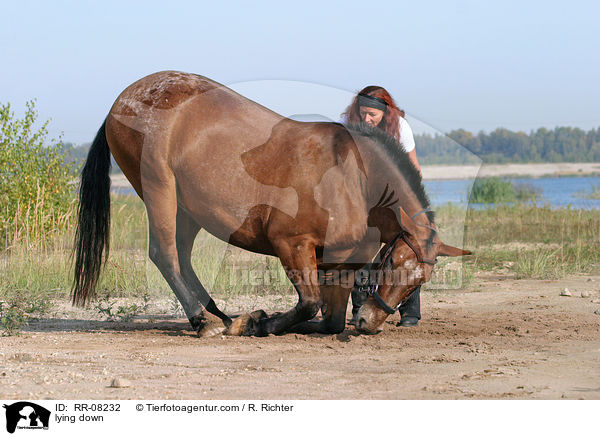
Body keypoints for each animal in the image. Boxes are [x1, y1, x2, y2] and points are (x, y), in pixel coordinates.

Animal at [72, 72, 472, 338]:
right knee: (164, 254)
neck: (354, 179)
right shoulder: (291, 245)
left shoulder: (337, 264)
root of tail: (123, 101)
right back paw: (203, 321)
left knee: (182, 257)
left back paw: (220, 317)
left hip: (188, 207)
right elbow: (309, 304)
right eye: (391, 263)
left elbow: (328, 319)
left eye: (418, 282)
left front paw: (259, 320)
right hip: (159, 190)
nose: (368, 323)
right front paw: (259, 322)